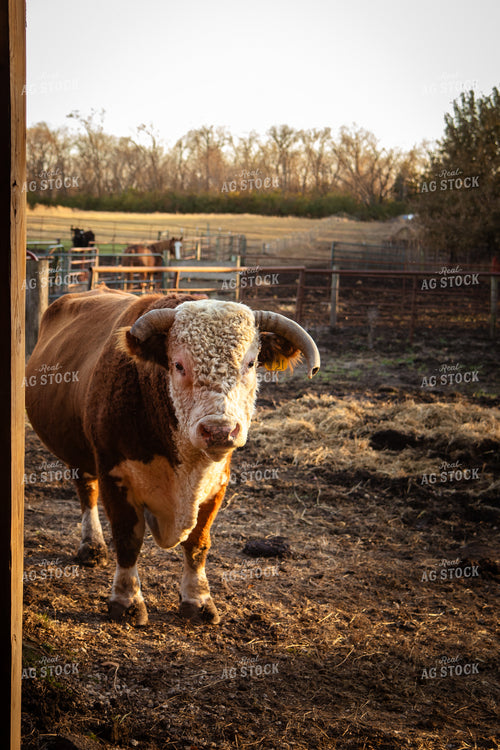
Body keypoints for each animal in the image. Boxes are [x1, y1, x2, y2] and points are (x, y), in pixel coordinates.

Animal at [25, 287, 320, 626]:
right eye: (178, 364)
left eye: (250, 363)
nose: (219, 430)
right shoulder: (114, 474)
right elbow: (127, 539)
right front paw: (127, 601)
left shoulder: (217, 483)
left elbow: (198, 543)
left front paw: (198, 599)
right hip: (80, 453)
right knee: (87, 492)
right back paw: (92, 546)